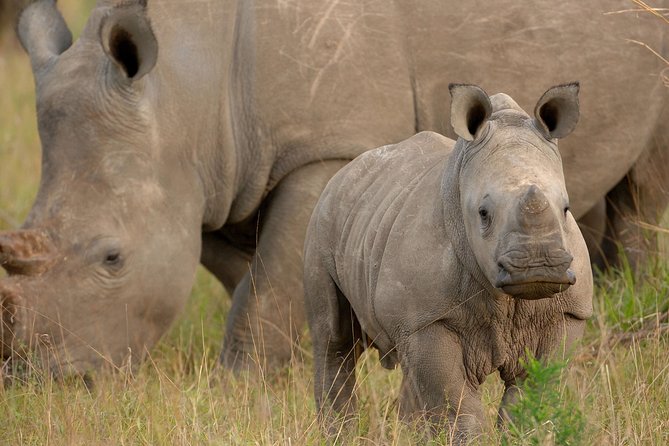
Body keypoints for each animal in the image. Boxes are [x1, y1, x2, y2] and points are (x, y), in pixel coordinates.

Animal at [0, 0, 663, 376]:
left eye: (112, 257)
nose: (45, 380)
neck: (189, 89)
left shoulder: (328, 148)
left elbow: (263, 293)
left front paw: (243, 388)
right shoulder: (215, 178)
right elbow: (253, 280)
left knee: (645, 179)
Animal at [303, 83, 593, 439]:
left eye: (566, 209)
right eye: (483, 213)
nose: (537, 267)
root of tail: (344, 172)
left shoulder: (567, 312)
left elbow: (536, 393)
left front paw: (529, 436)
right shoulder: (427, 319)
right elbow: (455, 405)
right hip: (322, 220)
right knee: (333, 339)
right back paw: (339, 435)